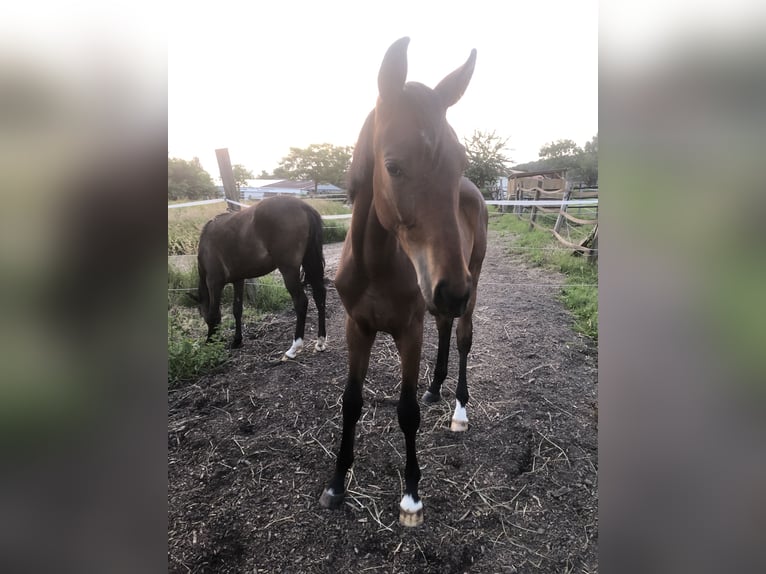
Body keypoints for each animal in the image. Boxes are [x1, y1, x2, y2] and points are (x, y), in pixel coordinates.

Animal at [195, 197, 328, 360]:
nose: (212, 340)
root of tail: (303, 206)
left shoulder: (214, 282)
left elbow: (214, 314)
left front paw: (210, 343)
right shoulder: (238, 280)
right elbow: (237, 310)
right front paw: (237, 340)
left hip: (289, 270)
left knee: (301, 302)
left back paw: (294, 348)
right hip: (310, 262)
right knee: (319, 295)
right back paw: (320, 342)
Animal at [320, 38, 488, 528]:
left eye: (459, 161)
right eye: (392, 166)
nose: (452, 289)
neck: (377, 265)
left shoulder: (409, 330)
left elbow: (407, 411)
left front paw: (411, 496)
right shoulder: (357, 327)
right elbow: (351, 402)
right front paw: (336, 484)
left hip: (470, 282)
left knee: (463, 337)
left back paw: (458, 410)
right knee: (446, 327)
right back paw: (436, 387)